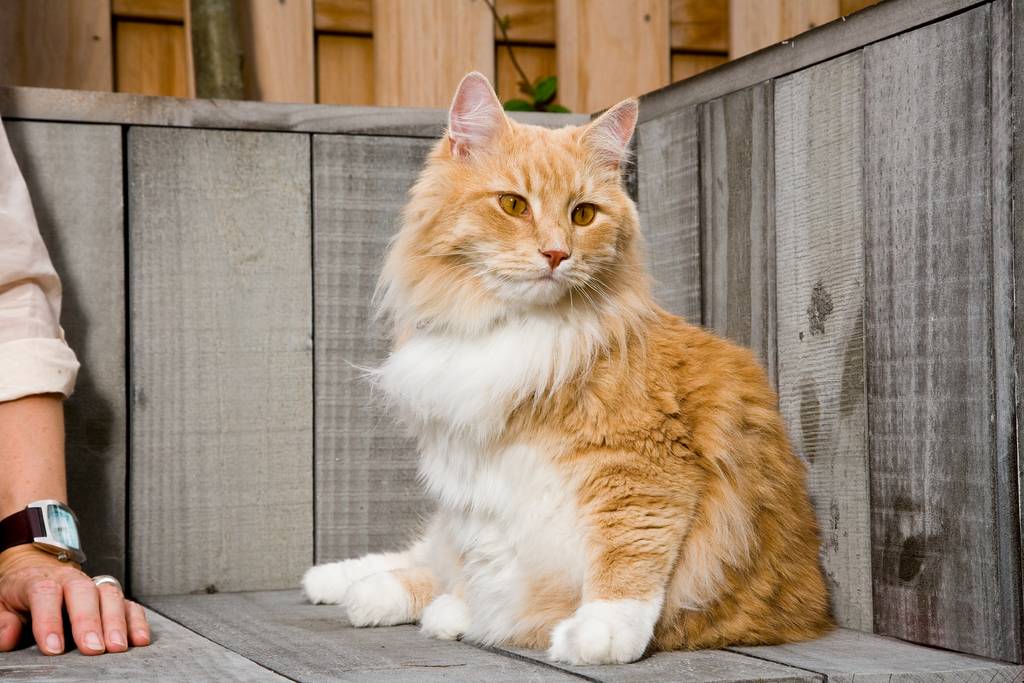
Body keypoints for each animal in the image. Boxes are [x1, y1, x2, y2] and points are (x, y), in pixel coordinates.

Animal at [299, 72, 827, 663]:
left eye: (583, 214)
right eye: (513, 205)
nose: (556, 254)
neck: (516, 330)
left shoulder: (643, 470)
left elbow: (627, 555)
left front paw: (600, 632)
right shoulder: (477, 488)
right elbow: (475, 562)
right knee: (423, 556)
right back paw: (337, 581)